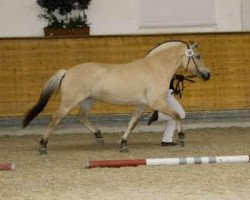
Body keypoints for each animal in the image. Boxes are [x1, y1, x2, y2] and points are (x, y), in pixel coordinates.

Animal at [23, 39, 211, 154]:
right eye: (198, 56)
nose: (207, 74)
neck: (155, 68)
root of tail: (67, 71)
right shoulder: (157, 103)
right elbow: (177, 115)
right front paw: (182, 137)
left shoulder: (141, 105)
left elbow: (132, 124)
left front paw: (123, 144)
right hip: (69, 102)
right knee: (55, 119)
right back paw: (43, 146)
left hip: (88, 101)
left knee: (81, 117)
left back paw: (99, 136)